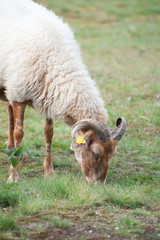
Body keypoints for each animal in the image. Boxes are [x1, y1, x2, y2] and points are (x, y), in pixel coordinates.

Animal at [0, 0, 126, 183]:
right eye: (95, 153)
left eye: (113, 154)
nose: (98, 183)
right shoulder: (19, 94)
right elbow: (19, 134)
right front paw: (13, 175)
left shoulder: (49, 97)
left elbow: (49, 133)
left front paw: (49, 172)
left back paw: (8, 148)